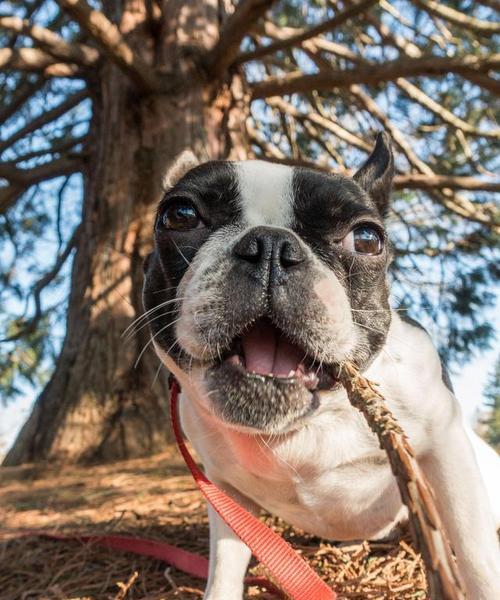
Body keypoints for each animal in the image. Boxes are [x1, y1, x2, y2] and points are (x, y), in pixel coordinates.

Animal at [142, 135, 500, 600]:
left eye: (367, 238)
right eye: (181, 215)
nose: (271, 245)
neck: (309, 424)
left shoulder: (445, 447)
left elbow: (476, 554)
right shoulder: (225, 490)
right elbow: (225, 562)